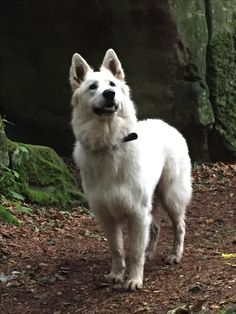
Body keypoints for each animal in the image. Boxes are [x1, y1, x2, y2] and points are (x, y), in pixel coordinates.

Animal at [68, 49, 192, 292]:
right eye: (92, 87)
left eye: (112, 84)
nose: (109, 94)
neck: (109, 144)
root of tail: (166, 124)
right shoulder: (107, 217)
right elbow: (117, 249)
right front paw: (117, 274)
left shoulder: (137, 213)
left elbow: (134, 251)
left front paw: (134, 279)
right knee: (155, 227)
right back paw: (150, 253)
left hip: (170, 196)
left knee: (179, 226)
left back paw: (175, 254)